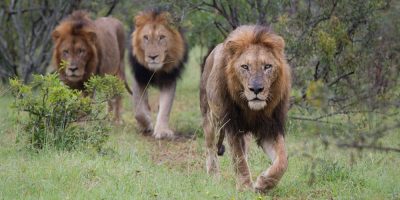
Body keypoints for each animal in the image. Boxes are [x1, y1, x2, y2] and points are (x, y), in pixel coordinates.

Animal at [130, 9, 189, 139]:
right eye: (145, 37)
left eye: (162, 37)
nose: (153, 57)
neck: (156, 70)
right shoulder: (138, 77)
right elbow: (138, 110)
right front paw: (147, 125)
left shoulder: (169, 79)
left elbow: (165, 107)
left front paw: (162, 131)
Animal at [199, 25, 290, 192]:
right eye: (245, 67)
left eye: (267, 66)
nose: (256, 89)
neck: (252, 110)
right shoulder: (232, 126)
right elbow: (238, 158)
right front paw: (245, 187)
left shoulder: (270, 127)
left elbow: (282, 160)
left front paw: (263, 183)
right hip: (209, 116)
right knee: (210, 147)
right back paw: (213, 176)